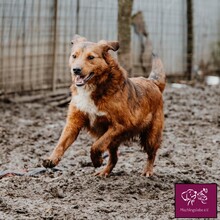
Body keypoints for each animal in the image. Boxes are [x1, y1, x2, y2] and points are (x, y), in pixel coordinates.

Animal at [42, 35, 165, 178]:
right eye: (74, 56)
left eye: (91, 57)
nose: (76, 70)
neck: (92, 88)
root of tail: (152, 82)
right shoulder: (73, 123)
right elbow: (61, 143)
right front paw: (51, 159)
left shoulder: (120, 126)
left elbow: (96, 145)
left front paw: (97, 160)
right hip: (115, 141)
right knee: (114, 158)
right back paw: (105, 172)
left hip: (151, 135)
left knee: (152, 153)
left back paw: (147, 171)